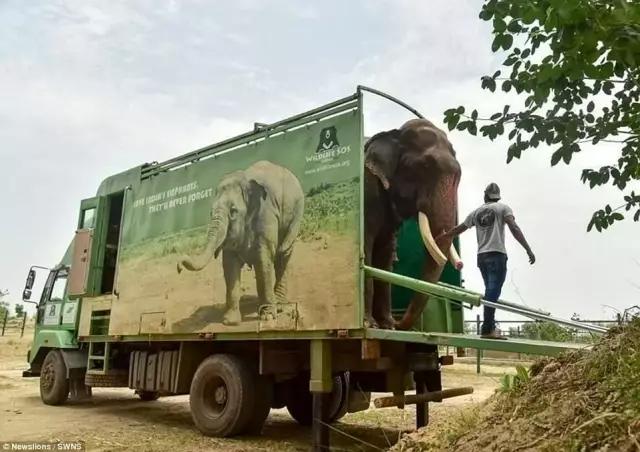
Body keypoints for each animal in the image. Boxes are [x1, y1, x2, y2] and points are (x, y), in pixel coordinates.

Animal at [175, 161, 304, 326]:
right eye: (210, 213)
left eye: (233, 211)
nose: (178, 267)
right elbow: (229, 266)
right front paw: (230, 321)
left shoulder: (266, 215)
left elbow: (263, 262)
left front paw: (268, 317)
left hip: (295, 217)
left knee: (283, 256)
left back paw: (279, 306)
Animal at [362, 118, 462, 330]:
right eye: (424, 166)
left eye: (459, 175)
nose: (398, 321)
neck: (394, 134)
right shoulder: (367, 189)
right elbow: (366, 245)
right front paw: (370, 325)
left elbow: (385, 252)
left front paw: (387, 326)